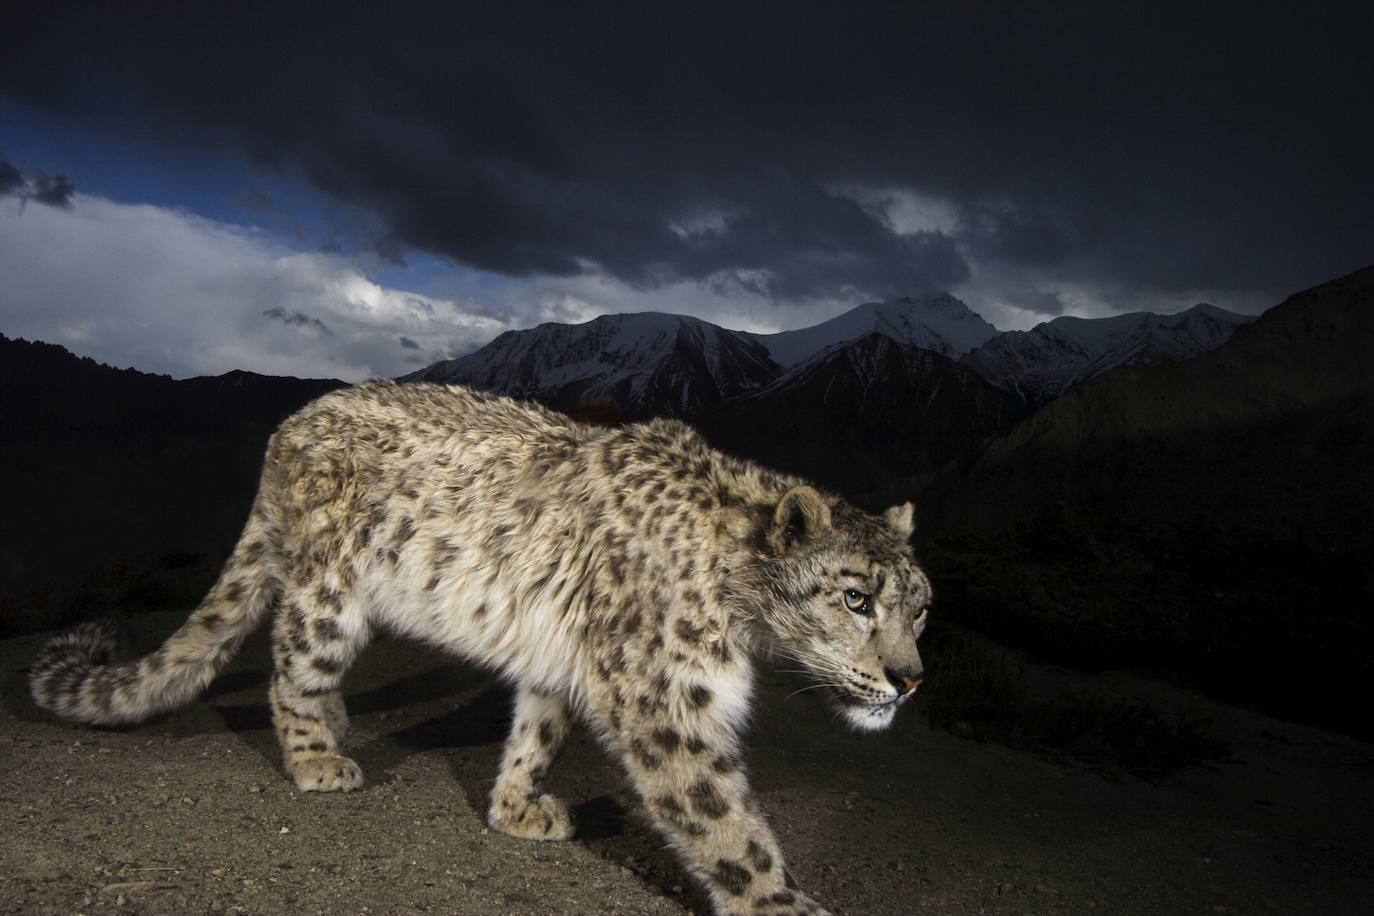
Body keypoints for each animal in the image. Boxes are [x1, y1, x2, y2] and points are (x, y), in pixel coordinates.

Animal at [32, 379, 928, 916]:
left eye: (921, 609)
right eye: (856, 599)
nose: (911, 680)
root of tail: (287, 427)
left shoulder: (564, 660)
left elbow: (539, 729)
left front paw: (517, 806)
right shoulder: (666, 702)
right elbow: (724, 822)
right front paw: (783, 903)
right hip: (329, 600)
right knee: (289, 669)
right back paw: (318, 757)